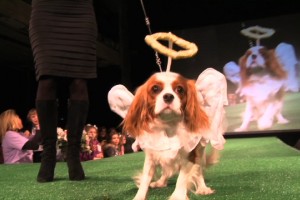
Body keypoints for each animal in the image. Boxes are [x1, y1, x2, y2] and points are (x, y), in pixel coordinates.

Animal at [119, 70, 225, 200]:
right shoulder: (151, 156)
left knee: (198, 170)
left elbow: (182, 179)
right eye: (155, 88)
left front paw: (177, 196)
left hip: (199, 151)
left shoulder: (189, 155)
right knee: (166, 170)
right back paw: (161, 182)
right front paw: (139, 197)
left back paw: (202, 188)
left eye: (179, 89)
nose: (168, 96)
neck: (168, 125)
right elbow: (145, 180)